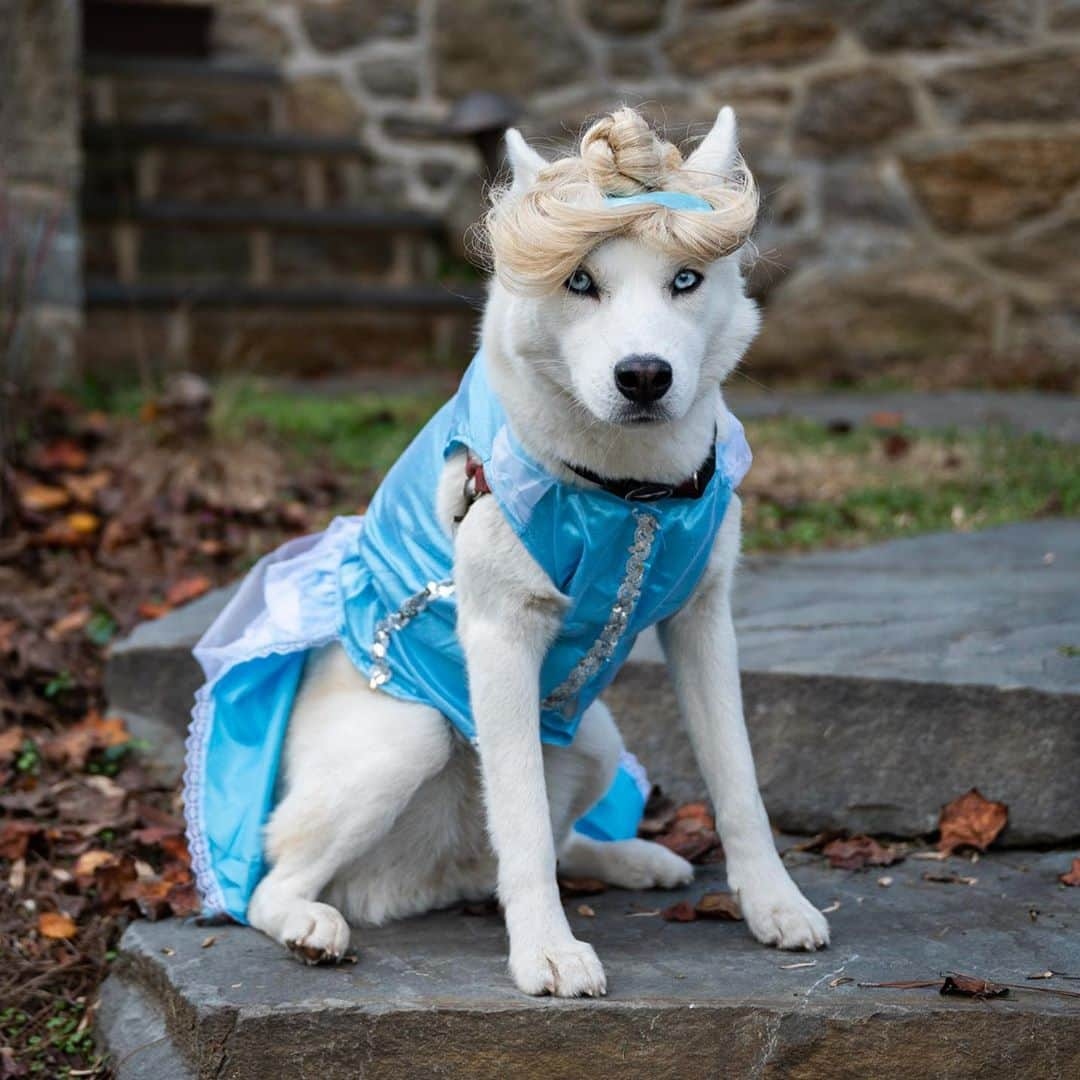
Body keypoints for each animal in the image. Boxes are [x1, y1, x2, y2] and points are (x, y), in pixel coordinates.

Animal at [248, 105, 829, 989]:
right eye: (579, 282)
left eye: (685, 281)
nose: (644, 376)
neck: (630, 495)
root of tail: (438, 877)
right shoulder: (500, 638)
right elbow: (517, 816)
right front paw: (547, 952)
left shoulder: (703, 622)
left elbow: (739, 785)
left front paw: (774, 906)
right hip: (411, 736)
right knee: (272, 883)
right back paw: (311, 924)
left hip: (596, 740)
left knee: (550, 844)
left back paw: (629, 857)